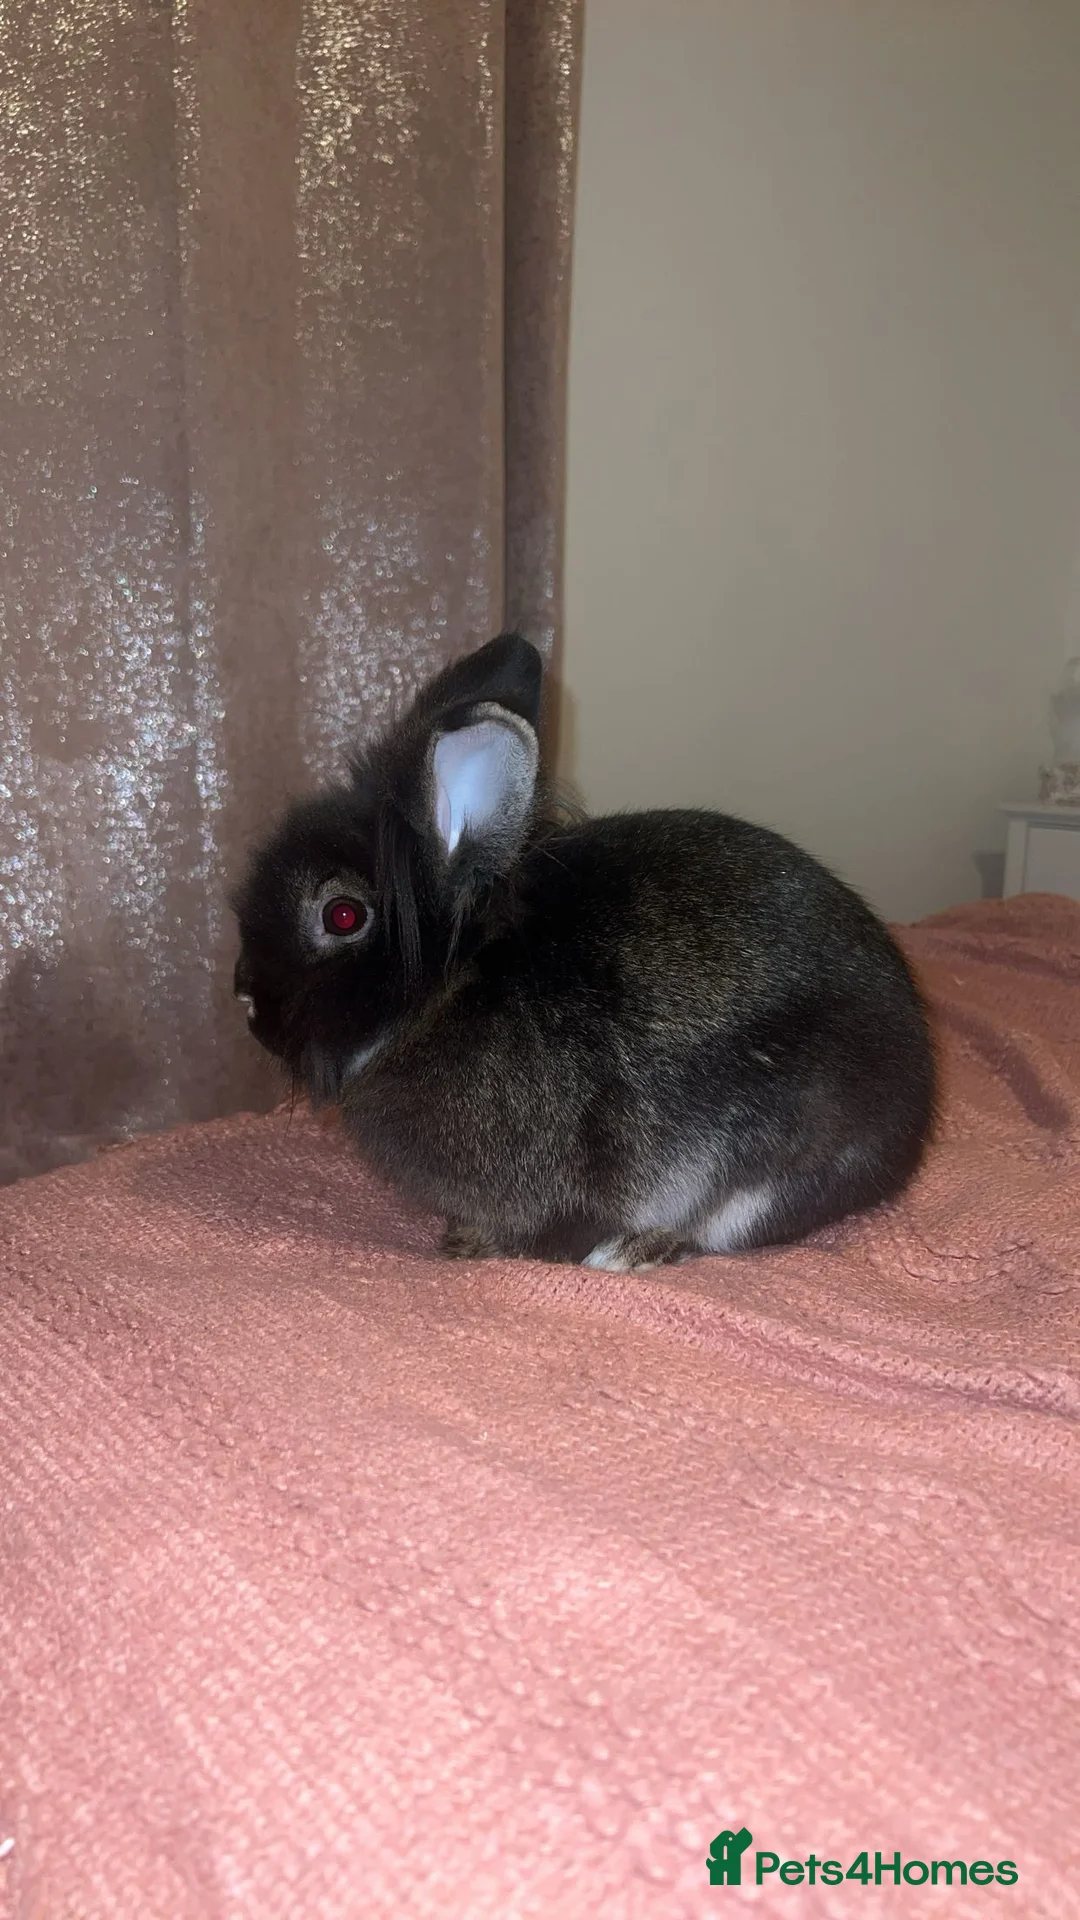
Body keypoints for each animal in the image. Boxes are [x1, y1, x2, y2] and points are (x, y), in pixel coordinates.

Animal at [232, 632, 935, 1269]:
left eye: (342, 916)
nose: (245, 998)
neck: (453, 985)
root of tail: (914, 1118)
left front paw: (483, 1250)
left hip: (763, 1169)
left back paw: (635, 1249)